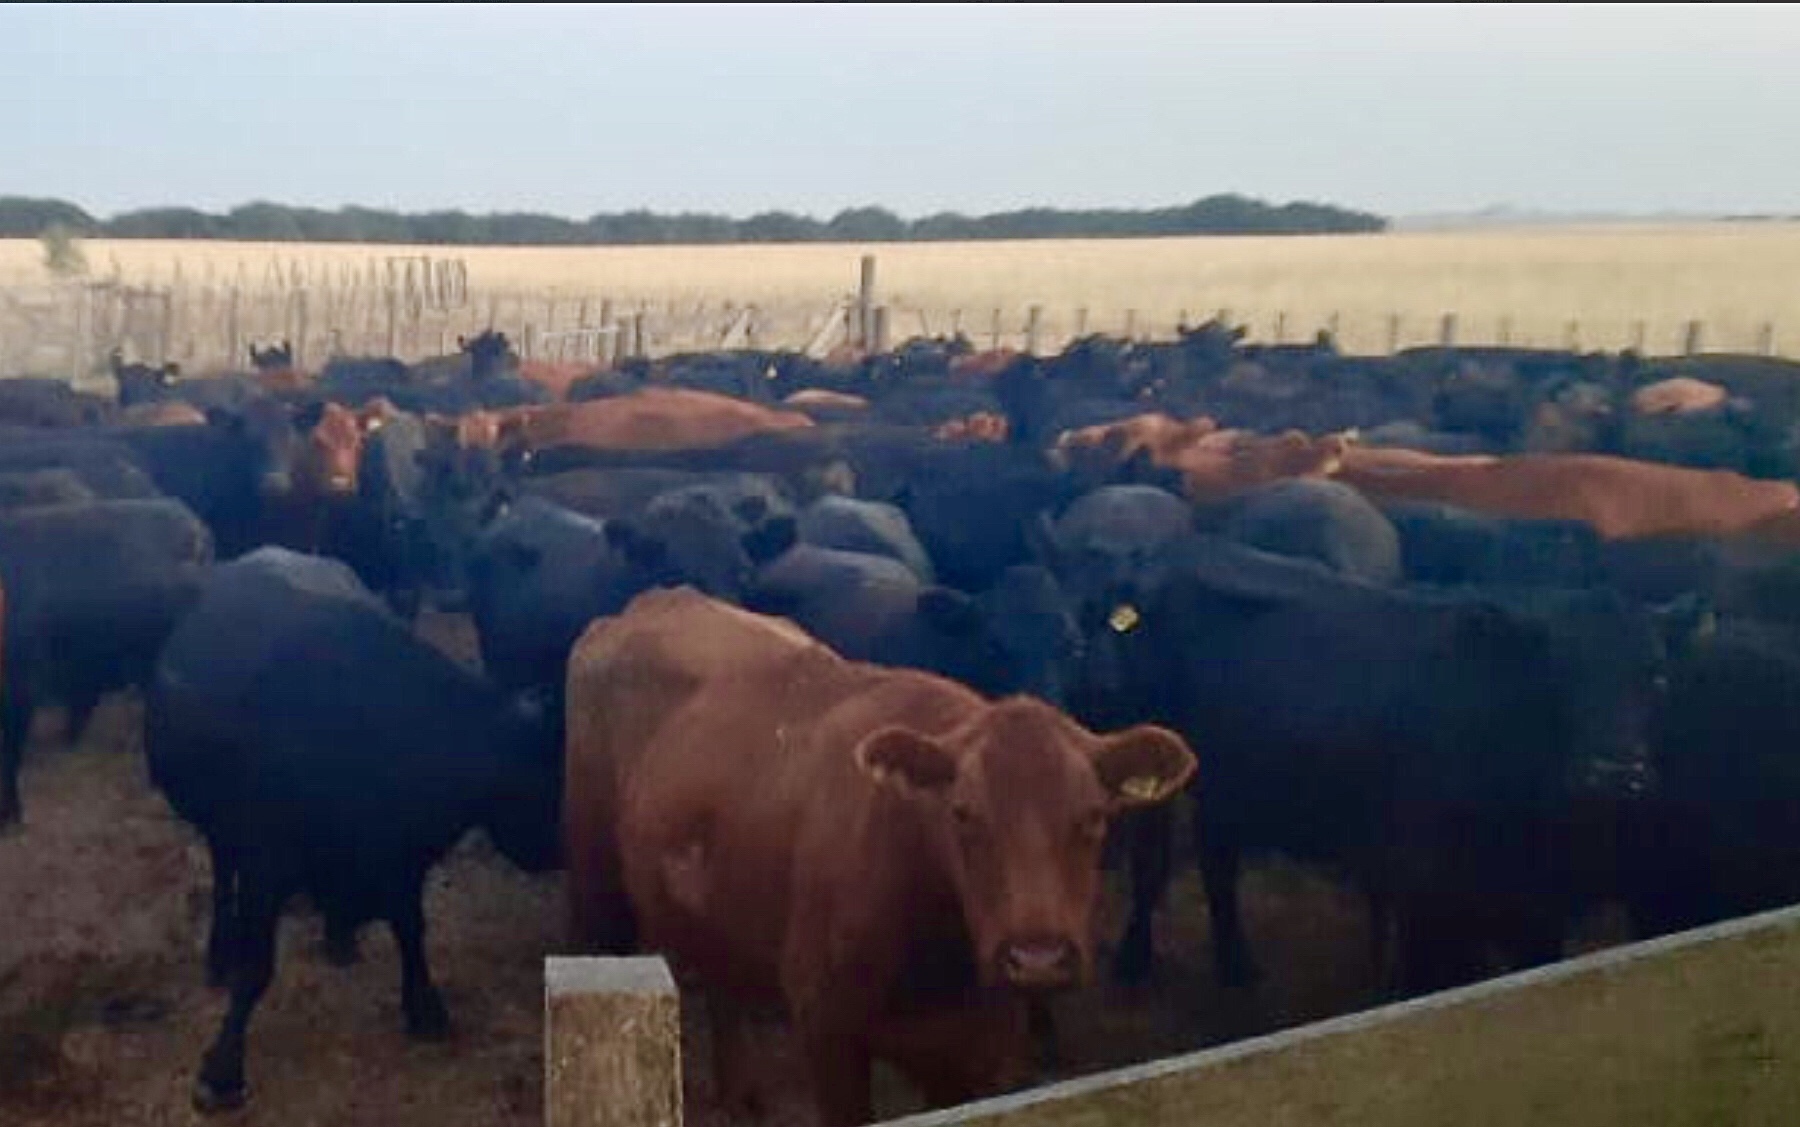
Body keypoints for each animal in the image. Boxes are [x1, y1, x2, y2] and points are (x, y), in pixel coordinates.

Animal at [144, 547, 558, 1108]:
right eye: (548, 769)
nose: (557, 848)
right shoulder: (266, 862)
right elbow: (256, 967)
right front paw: (223, 1067)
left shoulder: (403, 858)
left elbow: (411, 928)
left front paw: (425, 1007)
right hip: (221, 830)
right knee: (222, 871)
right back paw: (218, 952)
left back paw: (339, 937)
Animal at [561, 586, 1195, 1123]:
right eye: (962, 813)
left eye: (1094, 817)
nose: (1037, 958)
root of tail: (658, 599)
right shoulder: (828, 1032)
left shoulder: (971, 1052)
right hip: (597, 888)